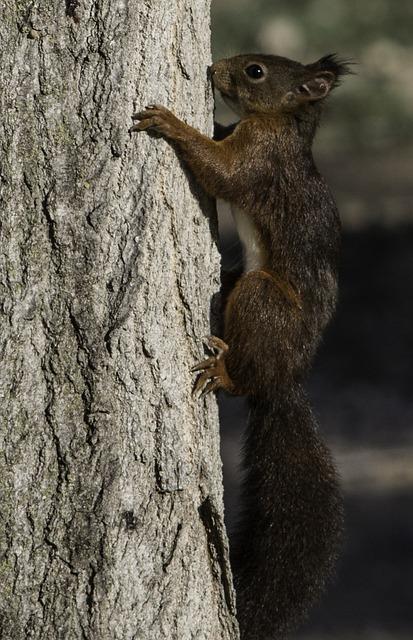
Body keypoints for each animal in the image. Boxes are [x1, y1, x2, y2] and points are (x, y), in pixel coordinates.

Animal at [130, 55, 350, 640]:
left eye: (255, 71)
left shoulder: (261, 157)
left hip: (260, 297)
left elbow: (224, 171)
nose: (212, 67)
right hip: (233, 287)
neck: (284, 124)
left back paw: (226, 374)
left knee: (243, 368)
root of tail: (284, 377)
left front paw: (171, 123)